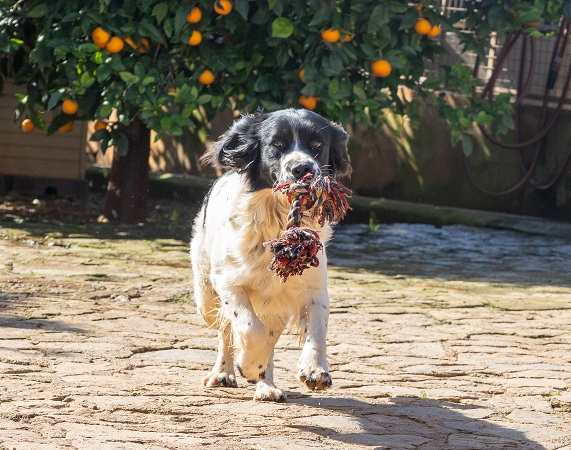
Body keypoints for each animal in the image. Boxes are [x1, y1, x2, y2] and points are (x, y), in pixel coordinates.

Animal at [190, 108, 351, 402]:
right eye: (276, 144)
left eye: (317, 144)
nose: (302, 169)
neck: (278, 221)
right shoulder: (228, 282)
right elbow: (248, 327)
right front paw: (249, 365)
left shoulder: (312, 287)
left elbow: (316, 329)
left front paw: (315, 370)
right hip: (205, 296)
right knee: (225, 329)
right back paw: (224, 372)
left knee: (269, 337)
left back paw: (267, 387)